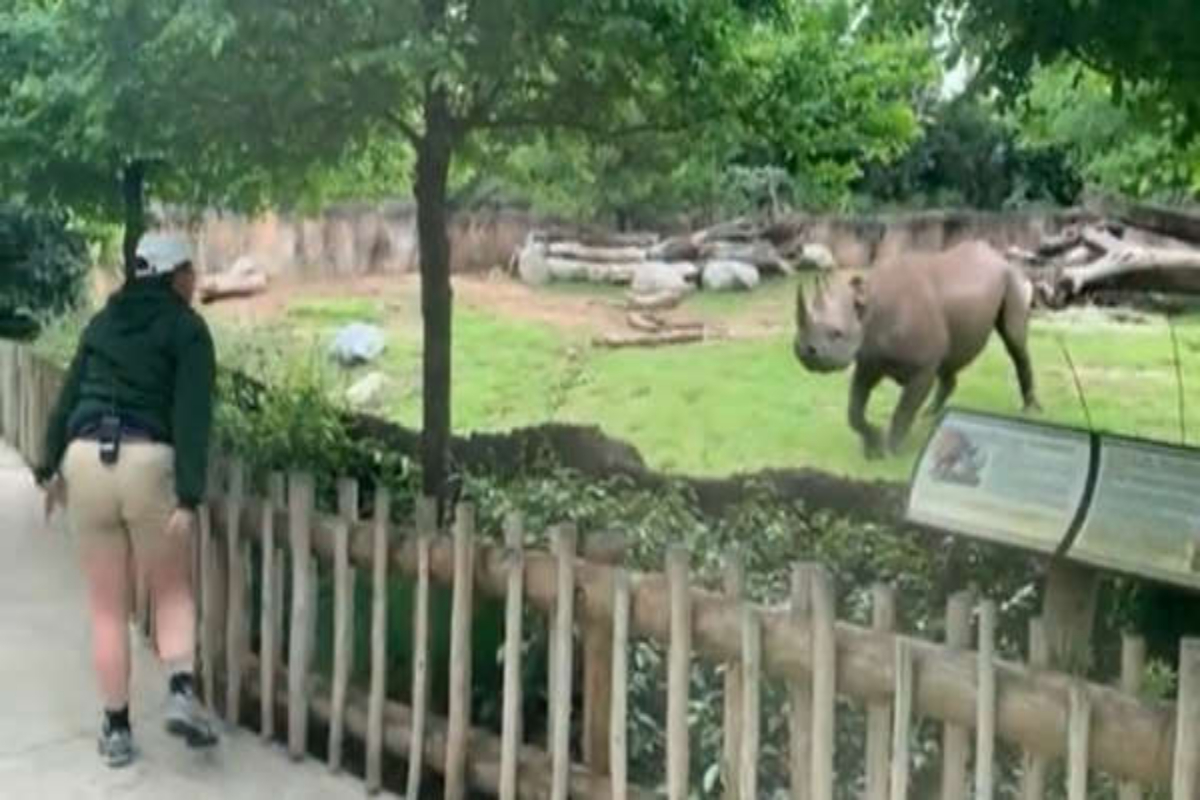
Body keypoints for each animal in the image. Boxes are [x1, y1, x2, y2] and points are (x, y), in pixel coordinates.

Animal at [793, 239, 1040, 458]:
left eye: (837, 333)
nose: (804, 351)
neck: (868, 305)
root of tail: (999, 256)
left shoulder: (921, 369)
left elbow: (904, 410)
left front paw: (892, 450)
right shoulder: (869, 360)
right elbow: (854, 411)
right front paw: (873, 446)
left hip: (1012, 278)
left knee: (1014, 341)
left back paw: (1030, 409)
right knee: (947, 360)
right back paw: (929, 416)